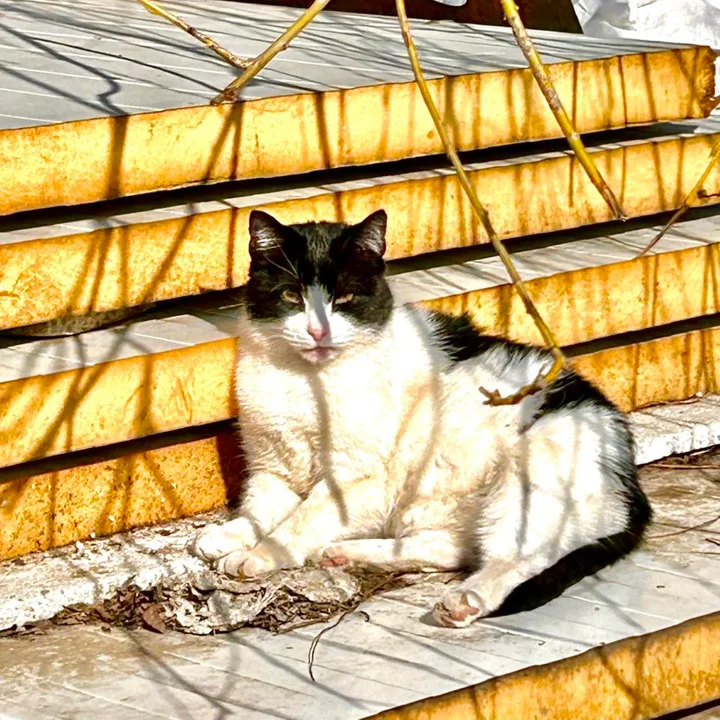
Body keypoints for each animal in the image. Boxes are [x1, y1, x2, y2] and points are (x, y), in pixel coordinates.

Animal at [192, 208, 651, 627]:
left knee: (517, 560)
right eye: (292, 297)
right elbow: (260, 509)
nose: (318, 331)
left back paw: (464, 602)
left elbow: (297, 522)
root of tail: (626, 468)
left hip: (526, 478)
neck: (303, 381)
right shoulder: (274, 470)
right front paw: (230, 535)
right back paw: (347, 554)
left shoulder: (354, 478)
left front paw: (259, 555)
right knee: (450, 549)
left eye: (344, 300)